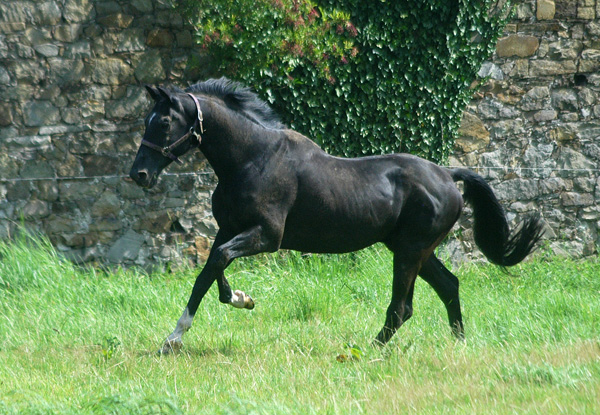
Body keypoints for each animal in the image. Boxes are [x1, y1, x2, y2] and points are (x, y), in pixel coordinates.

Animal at [129, 79, 540, 354]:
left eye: (162, 122)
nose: (139, 175)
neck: (252, 158)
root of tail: (448, 175)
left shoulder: (266, 235)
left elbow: (215, 263)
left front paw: (172, 339)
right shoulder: (228, 228)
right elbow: (211, 271)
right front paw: (242, 299)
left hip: (410, 250)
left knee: (402, 307)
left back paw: (368, 351)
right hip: (415, 249)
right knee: (448, 286)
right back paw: (458, 344)